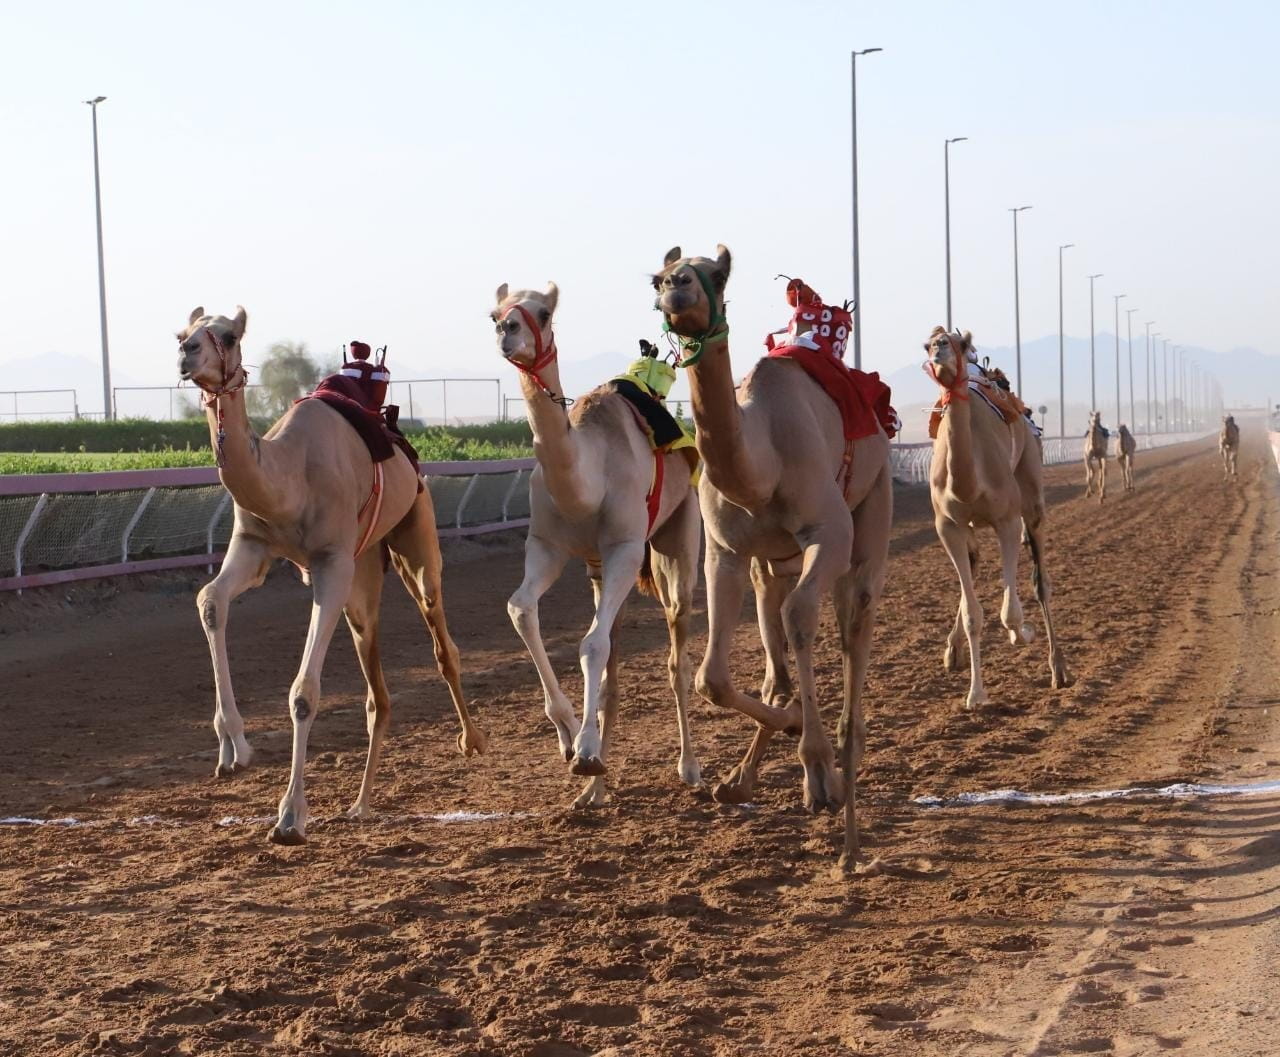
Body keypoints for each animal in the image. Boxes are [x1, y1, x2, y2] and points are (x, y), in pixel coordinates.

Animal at [175, 303, 483, 839]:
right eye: (182, 332)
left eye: (229, 336)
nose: (188, 354)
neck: (289, 477)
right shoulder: (254, 545)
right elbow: (210, 600)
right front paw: (233, 747)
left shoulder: (332, 563)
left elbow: (303, 693)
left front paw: (290, 816)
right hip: (365, 573)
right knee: (377, 690)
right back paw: (360, 804)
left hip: (414, 534)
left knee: (442, 639)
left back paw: (473, 740)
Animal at [494, 280, 706, 808]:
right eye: (495, 312)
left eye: (543, 313)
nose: (507, 330)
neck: (587, 481)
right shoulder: (547, 547)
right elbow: (521, 610)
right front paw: (571, 740)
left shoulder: (625, 548)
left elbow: (590, 643)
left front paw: (586, 749)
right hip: (602, 573)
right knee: (612, 662)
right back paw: (595, 791)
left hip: (677, 539)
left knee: (676, 653)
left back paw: (690, 768)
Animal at [650, 246, 890, 875]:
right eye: (657, 279)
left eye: (716, 274)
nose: (677, 287)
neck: (762, 467)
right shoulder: (726, 553)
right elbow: (712, 677)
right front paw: (781, 749)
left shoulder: (827, 533)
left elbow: (802, 621)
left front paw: (821, 772)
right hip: (772, 565)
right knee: (776, 660)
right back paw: (744, 777)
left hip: (869, 509)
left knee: (854, 622)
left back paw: (845, 784)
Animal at [921, 327, 1070, 706]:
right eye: (927, 345)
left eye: (958, 344)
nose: (939, 349)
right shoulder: (948, 526)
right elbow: (974, 614)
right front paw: (975, 695)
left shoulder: (1007, 519)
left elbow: (1011, 613)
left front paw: (1024, 632)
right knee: (973, 564)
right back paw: (953, 651)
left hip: (1031, 485)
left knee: (1041, 582)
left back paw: (1058, 668)